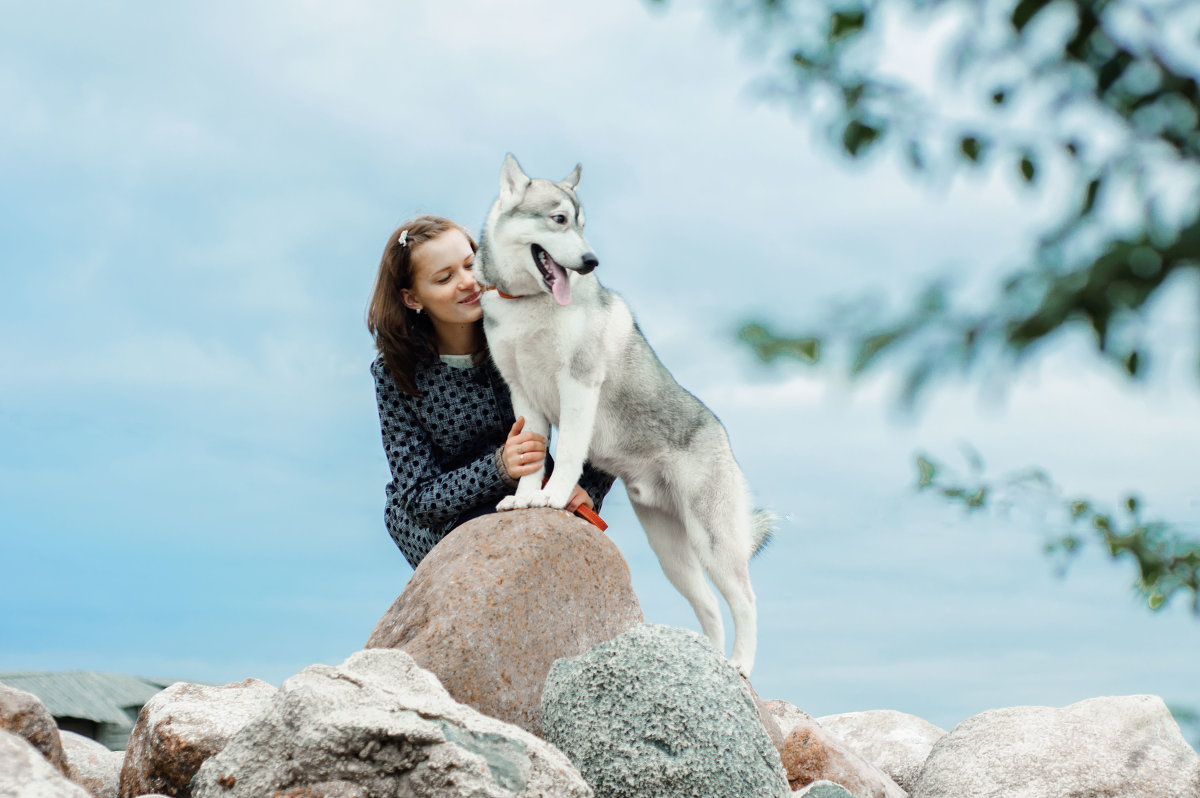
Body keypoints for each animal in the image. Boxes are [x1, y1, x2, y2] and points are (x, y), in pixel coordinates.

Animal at [472, 153, 772, 672]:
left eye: (582, 224)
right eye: (559, 219)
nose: (592, 261)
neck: (528, 306)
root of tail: (720, 431)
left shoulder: (578, 384)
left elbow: (568, 454)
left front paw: (553, 496)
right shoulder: (522, 397)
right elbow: (530, 460)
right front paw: (525, 497)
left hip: (712, 541)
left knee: (747, 602)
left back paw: (740, 665)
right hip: (670, 551)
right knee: (710, 608)